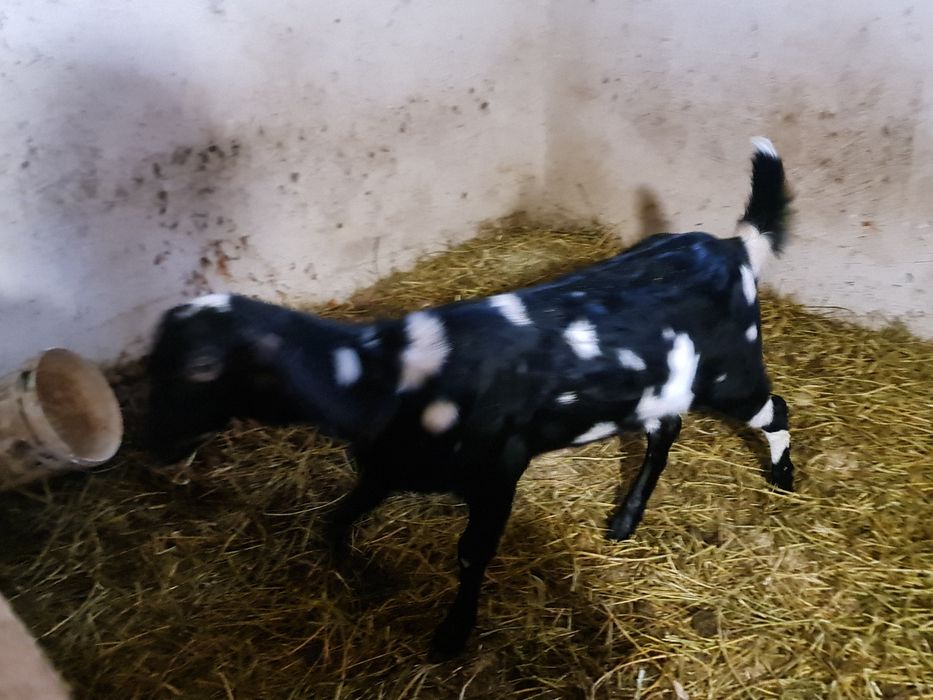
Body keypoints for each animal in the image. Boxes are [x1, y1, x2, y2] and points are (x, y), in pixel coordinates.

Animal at [145, 137, 794, 658]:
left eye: (201, 369)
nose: (155, 444)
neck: (387, 373)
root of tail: (732, 247)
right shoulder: (387, 466)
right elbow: (340, 516)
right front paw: (358, 572)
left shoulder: (497, 473)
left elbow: (470, 553)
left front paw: (452, 637)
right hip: (660, 385)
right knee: (666, 432)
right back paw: (626, 519)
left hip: (731, 375)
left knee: (774, 410)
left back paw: (783, 476)